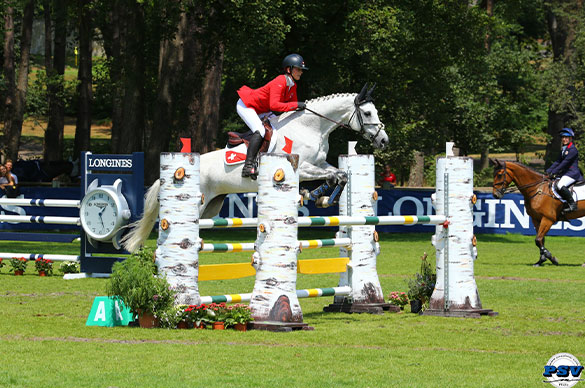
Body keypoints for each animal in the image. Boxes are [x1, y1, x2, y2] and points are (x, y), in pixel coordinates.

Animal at [122, 83, 388, 252]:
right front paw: (313, 195)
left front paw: (318, 197)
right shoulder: (301, 167)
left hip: (210, 206)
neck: (311, 127)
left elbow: (340, 175)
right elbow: (333, 175)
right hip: (197, 203)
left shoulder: (319, 162)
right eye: (367, 113)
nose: (384, 141)